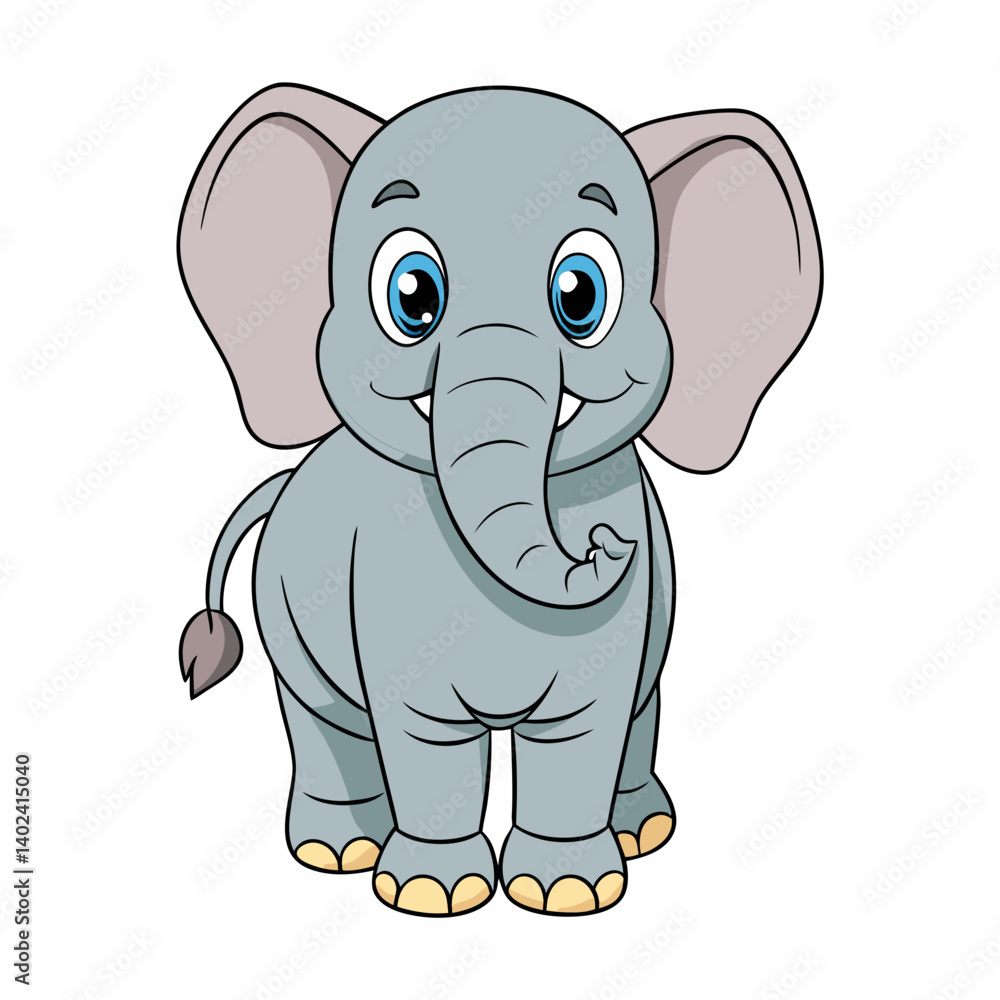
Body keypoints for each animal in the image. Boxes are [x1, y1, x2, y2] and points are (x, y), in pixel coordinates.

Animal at [176, 83, 822, 917]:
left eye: (581, 294)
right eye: (412, 294)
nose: (607, 543)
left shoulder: (629, 606)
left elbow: (587, 723)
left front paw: (571, 892)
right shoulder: (380, 585)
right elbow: (423, 729)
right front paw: (428, 893)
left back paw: (642, 831)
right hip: (282, 611)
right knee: (324, 716)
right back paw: (337, 851)